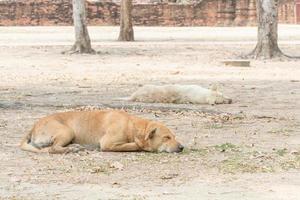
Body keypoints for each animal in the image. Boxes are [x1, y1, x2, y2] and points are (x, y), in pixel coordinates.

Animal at [19, 110, 183, 154]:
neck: (132, 126)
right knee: (53, 149)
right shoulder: (107, 143)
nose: (182, 147)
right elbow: (134, 145)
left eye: (174, 137)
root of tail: (34, 126)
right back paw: (71, 149)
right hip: (67, 131)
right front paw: (141, 145)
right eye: (166, 137)